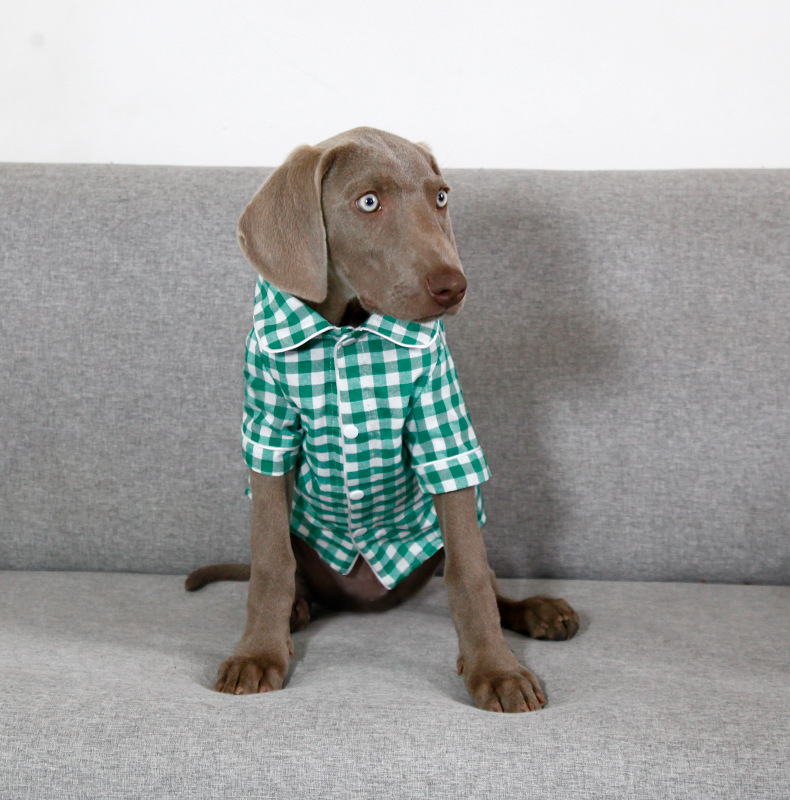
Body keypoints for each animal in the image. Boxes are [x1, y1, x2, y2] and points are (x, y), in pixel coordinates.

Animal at [186, 127, 578, 713]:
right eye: (368, 202)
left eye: (441, 197)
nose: (453, 286)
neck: (347, 327)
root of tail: (364, 600)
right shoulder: (268, 433)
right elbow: (271, 561)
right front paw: (257, 653)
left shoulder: (443, 432)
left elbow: (469, 573)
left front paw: (496, 668)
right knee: (295, 574)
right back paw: (296, 612)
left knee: (482, 575)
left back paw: (537, 611)